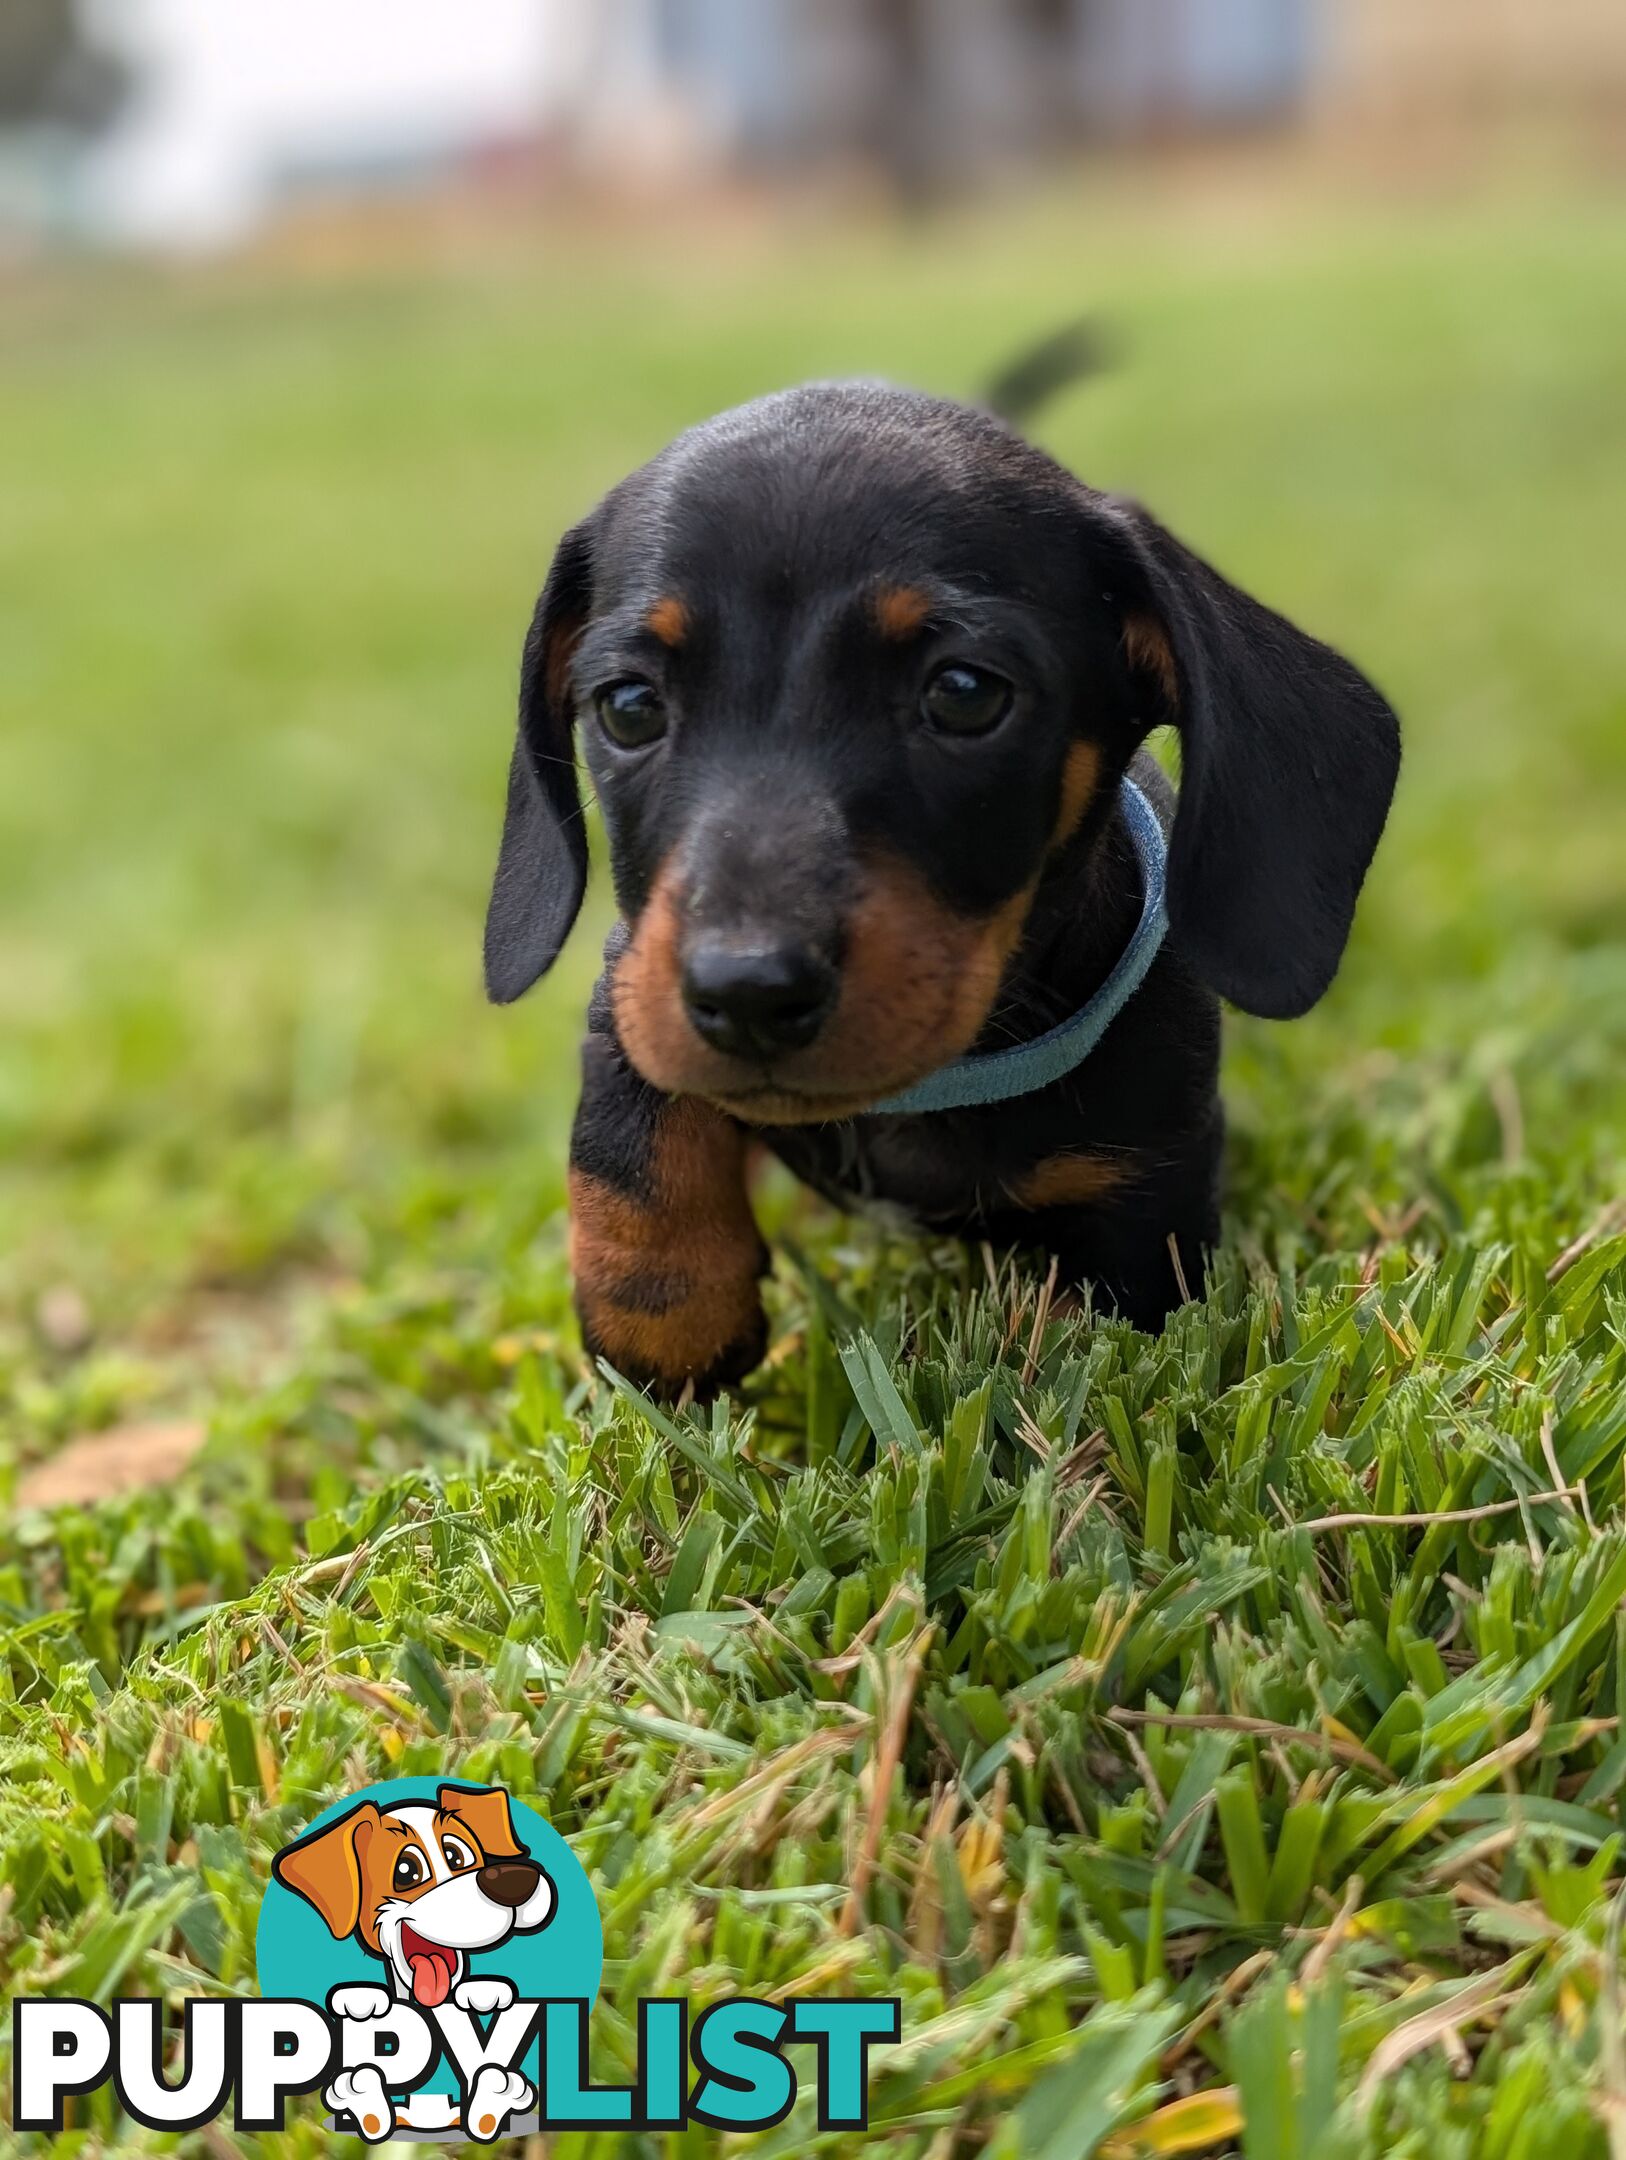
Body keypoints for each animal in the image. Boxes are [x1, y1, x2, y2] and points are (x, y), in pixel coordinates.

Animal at [479, 384, 1399, 1399]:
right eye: (629, 705)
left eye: (964, 692)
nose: (748, 995)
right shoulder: (634, 979)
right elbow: (631, 1133)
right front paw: (667, 1316)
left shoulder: (1141, 1204)